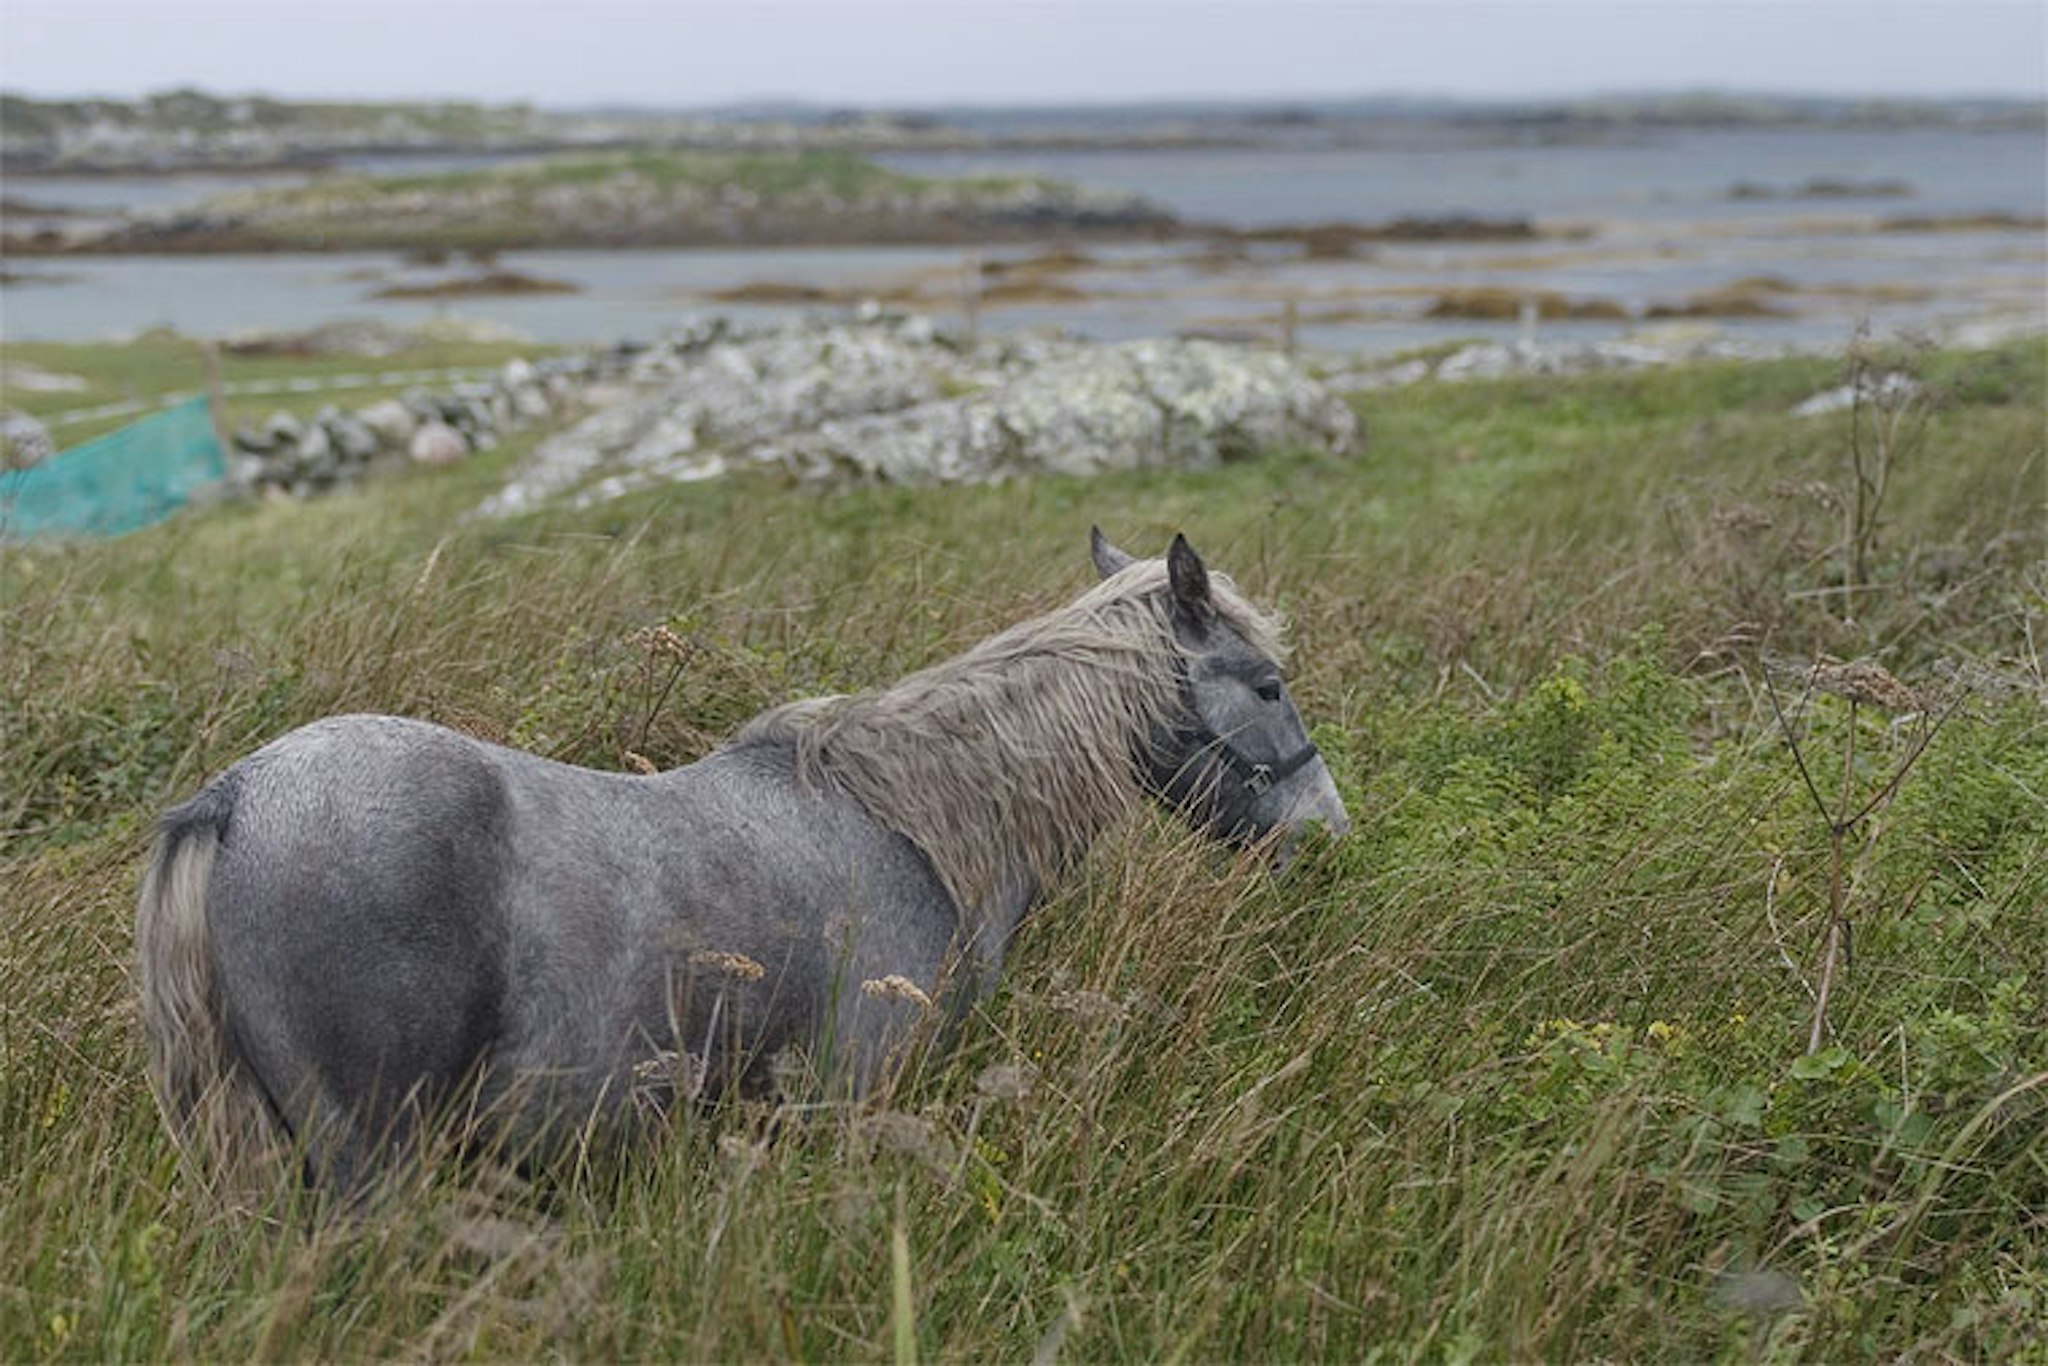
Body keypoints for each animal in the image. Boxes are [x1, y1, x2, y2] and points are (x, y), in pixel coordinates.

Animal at [136, 528, 1351, 1187]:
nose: (1328, 837)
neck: (915, 825)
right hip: (371, 1158)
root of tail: (238, 794)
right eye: (1266, 682)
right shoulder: (848, 1102)